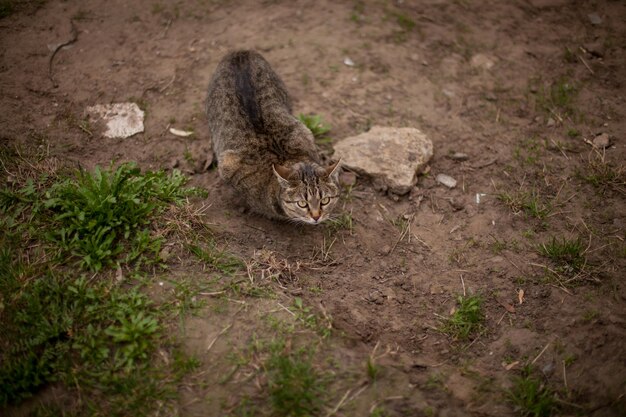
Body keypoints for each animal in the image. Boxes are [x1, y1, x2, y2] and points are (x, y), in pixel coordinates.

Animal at [206, 50, 338, 224]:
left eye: (325, 201)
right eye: (302, 203)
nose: (316, 217)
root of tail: (240, 52)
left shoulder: (304, 132)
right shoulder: (228, 163)